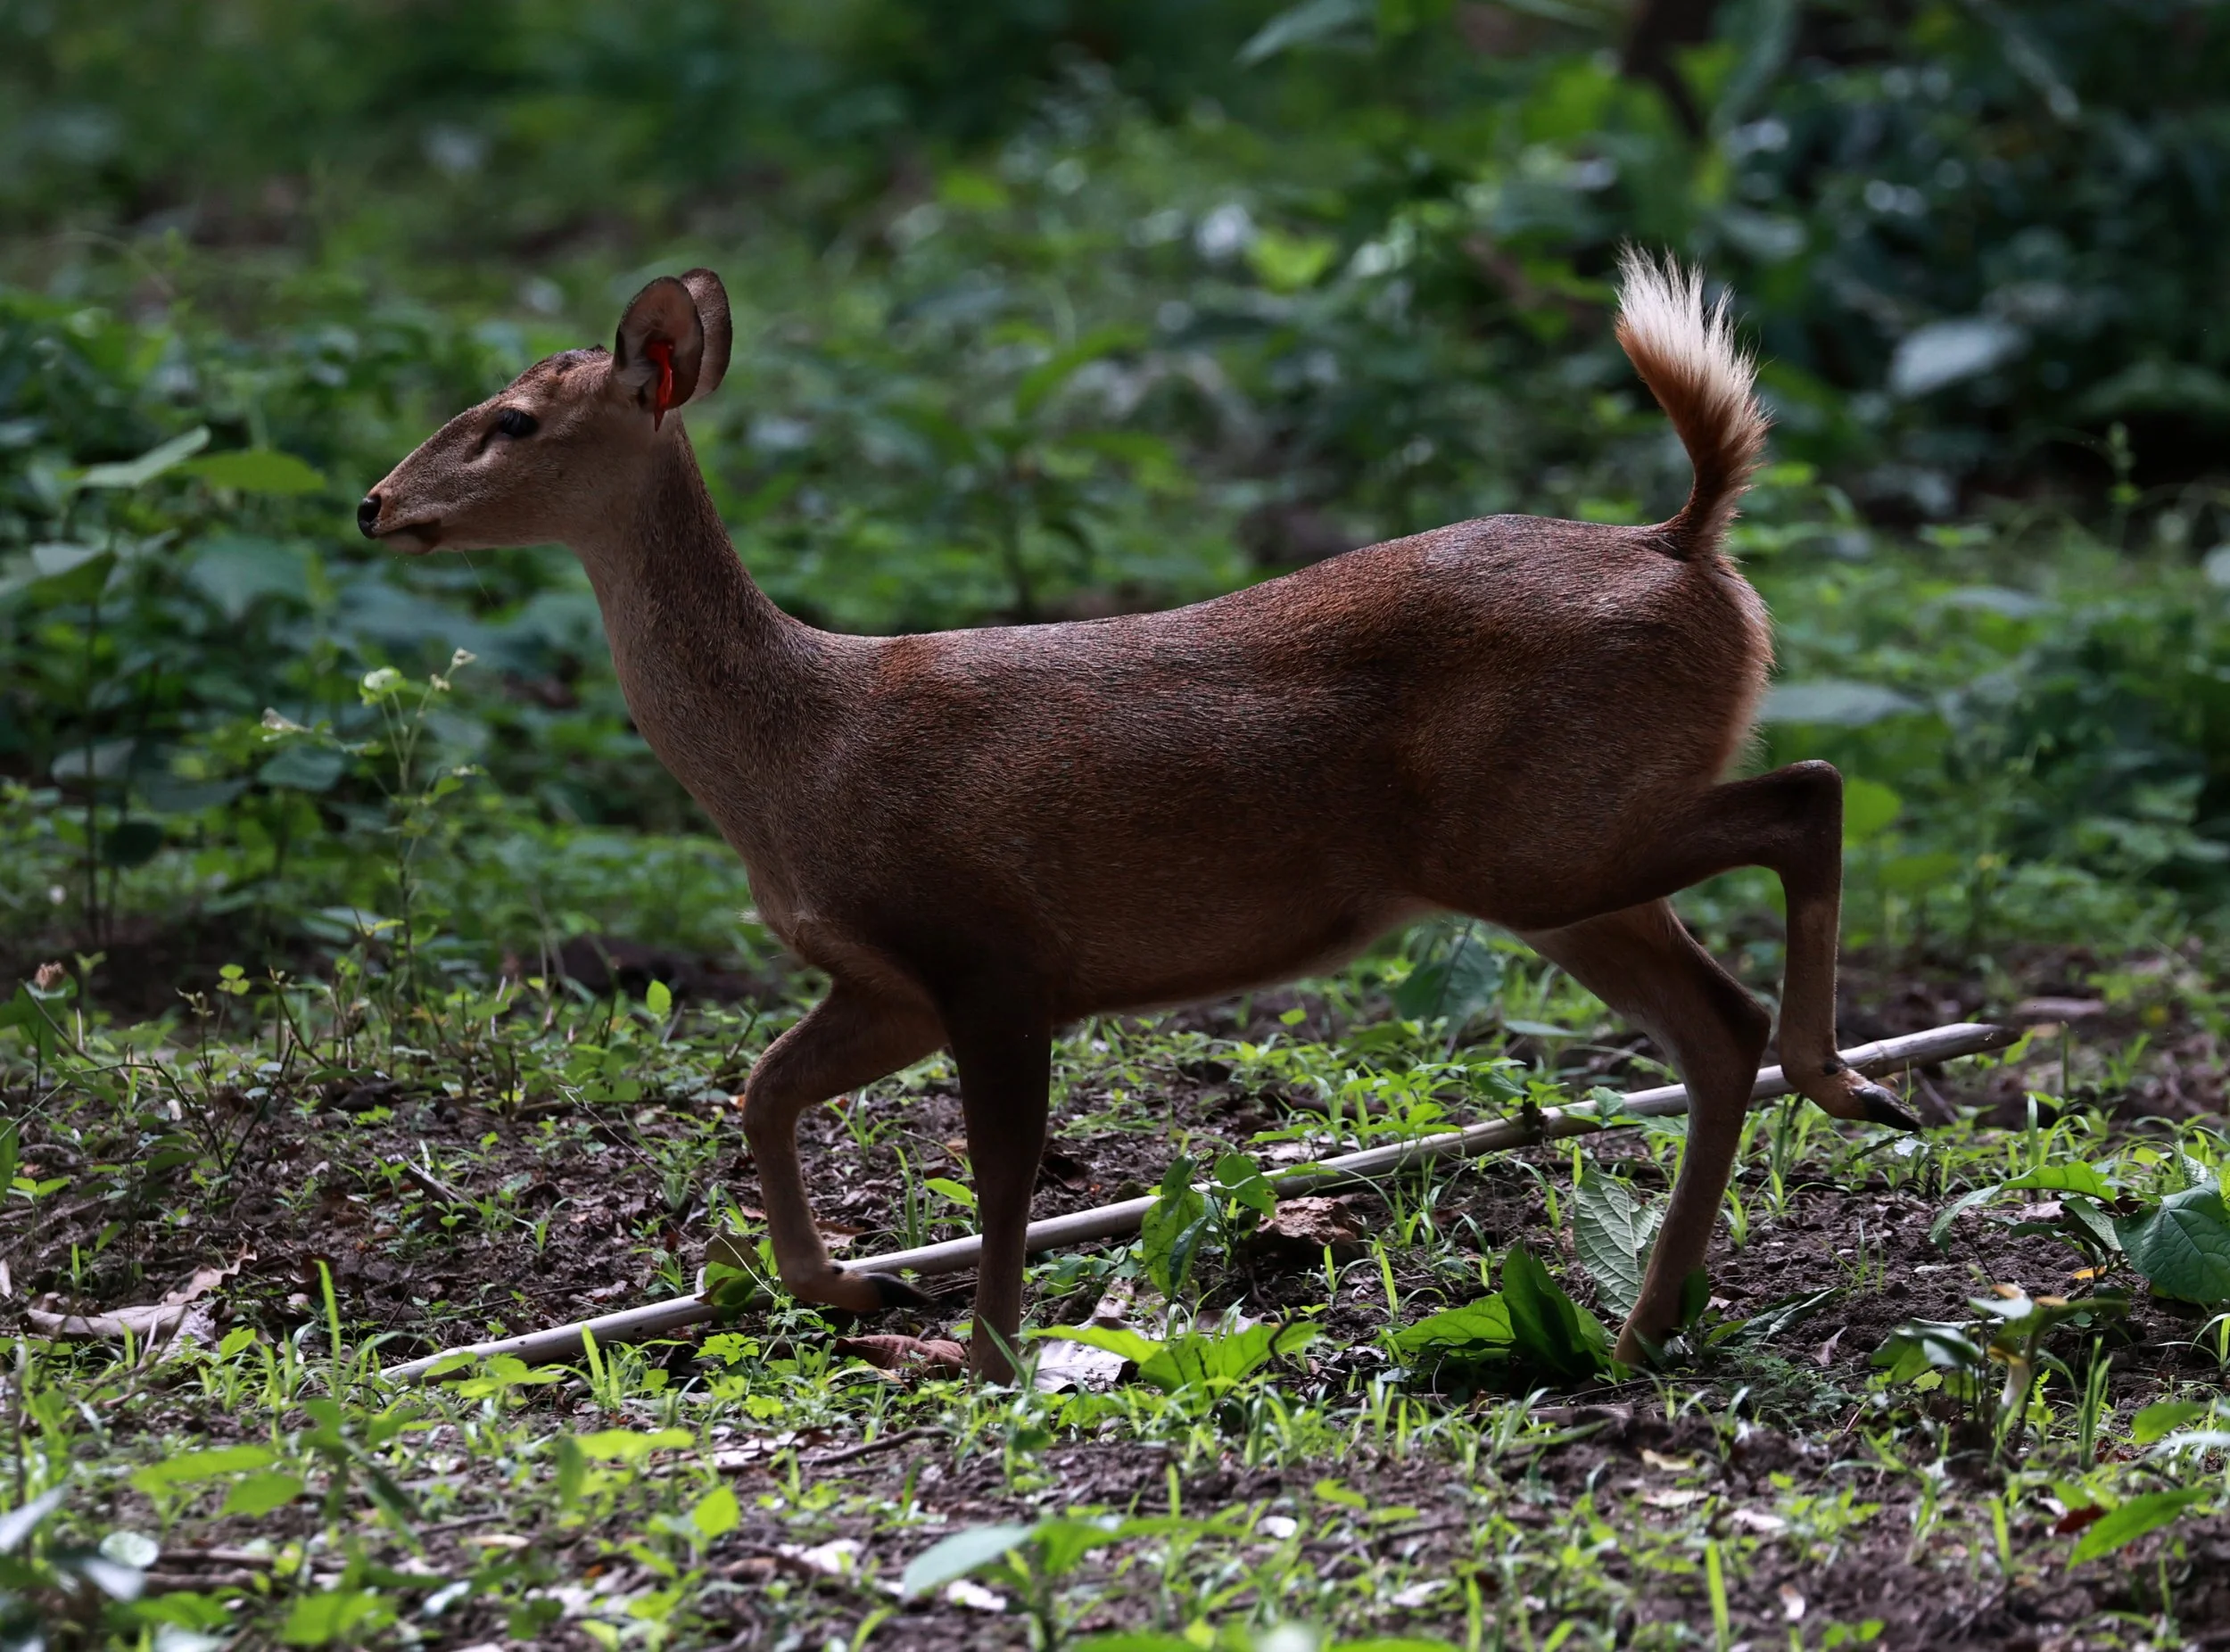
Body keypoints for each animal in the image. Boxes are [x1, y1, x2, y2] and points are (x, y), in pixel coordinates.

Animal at [361, 252, 1916, 1380]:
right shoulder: (889, 977)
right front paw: (845, 1285)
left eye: (512, 420)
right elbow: (763, 1086)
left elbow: (999, 1173)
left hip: (1539, 837)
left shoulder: (990, 950)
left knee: (1807, 797)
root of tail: (1686, 545)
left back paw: (1846, 1086)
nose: (377, 503)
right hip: (1562, 862)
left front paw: (986, 1357)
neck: (798, 750)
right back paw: (1651, 1316)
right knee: (1715, 1017)